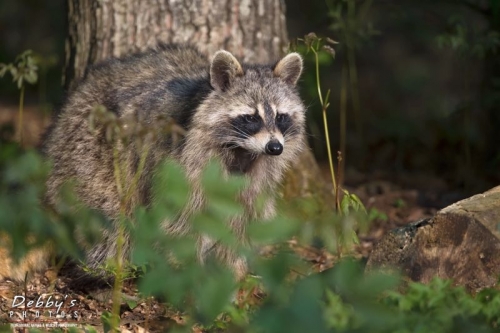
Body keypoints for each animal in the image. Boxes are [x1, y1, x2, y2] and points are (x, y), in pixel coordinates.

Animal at [0, 44, 306, 280]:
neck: (241, 151)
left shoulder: (256, 177)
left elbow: (243, 219)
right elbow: (181, 218)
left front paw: (232, 271)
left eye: (281, 116)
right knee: (111, 217)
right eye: (251, 117)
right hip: (88, 152)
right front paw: (189, 272)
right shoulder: (182, 163)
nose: (275, 148)